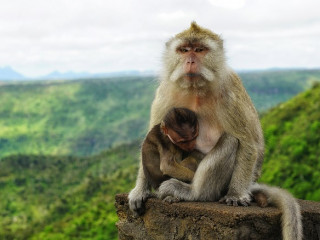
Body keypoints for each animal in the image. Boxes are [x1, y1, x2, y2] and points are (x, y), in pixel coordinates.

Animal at [128, 22, 302, 240]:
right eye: (184, 50)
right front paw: (139, 190)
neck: (195, 88)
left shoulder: (230, 92)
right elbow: (151, 140)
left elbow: (250, 143)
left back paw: (193, 193)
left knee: (230, 141)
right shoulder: (164, 93)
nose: (190, 60)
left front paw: (236, 194)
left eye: (199, 50)